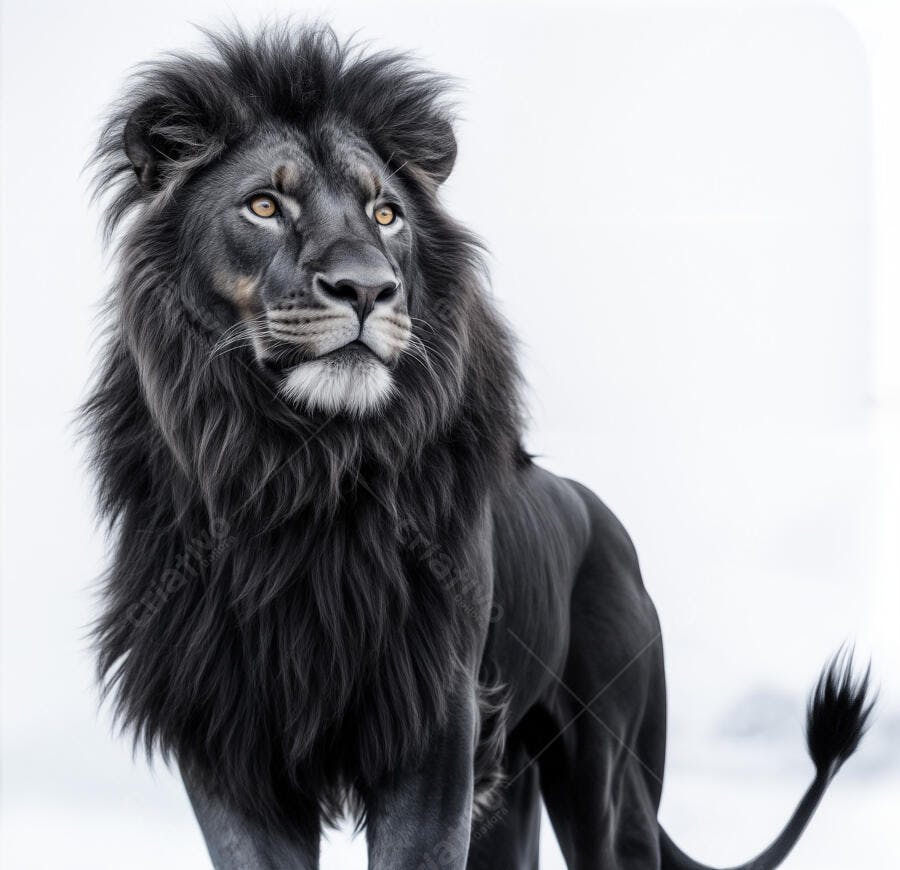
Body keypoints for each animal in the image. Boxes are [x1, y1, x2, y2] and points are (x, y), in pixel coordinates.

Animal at [85, 24, 873, 870]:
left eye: (386, 213)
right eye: (264, 205)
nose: (367, 289)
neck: (303, 468)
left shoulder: (436, 725)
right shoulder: (227, 743)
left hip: (608, 778)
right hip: (509, 795)